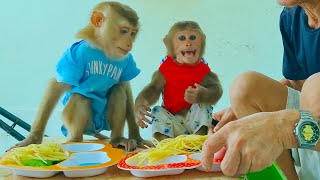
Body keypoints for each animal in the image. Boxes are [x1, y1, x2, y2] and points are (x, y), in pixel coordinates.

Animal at [12, 1, 151, 151]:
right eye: (124, 31)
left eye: (133, 33)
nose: (129, 43)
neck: (103, 50)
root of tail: (93, 130)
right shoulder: (74, 54)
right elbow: (56, 86)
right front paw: (33, 138)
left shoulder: (127, 60)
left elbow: (124, 87)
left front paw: (137, 136)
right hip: (74, 123)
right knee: (81, 97)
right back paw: (75, 140)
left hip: (104, 124)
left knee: (118, 91)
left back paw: (116, 139)